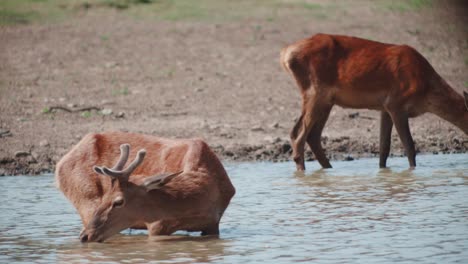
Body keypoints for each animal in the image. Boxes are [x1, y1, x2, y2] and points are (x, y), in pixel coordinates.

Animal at [56, 131, 236, 242]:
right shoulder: (157, 225)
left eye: (118, 201)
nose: (86, 236)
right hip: (85, 201)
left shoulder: (213, 226)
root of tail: (59, 164)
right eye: (106, 196)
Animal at [282, 33, 468, 171]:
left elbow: (384, 148)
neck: (426, 91)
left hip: (326, 100)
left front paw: (383, 171)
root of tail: (285, 54)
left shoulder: (384, 107)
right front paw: (412, 170)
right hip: (315, 91)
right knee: (298, 134)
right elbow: (409, 146)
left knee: (312, 135)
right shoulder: (396, 103)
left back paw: (328, 168)